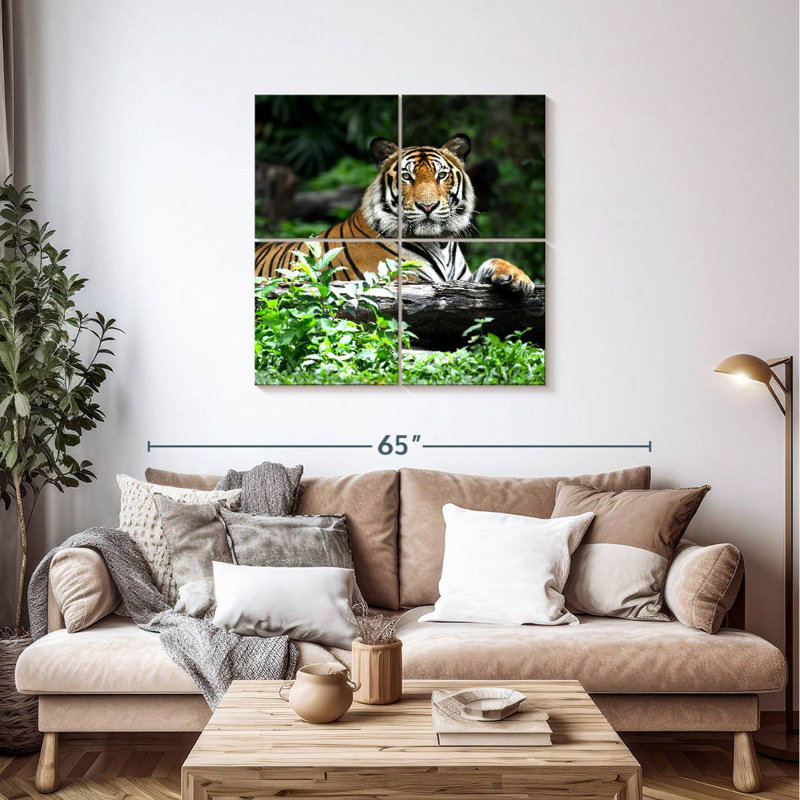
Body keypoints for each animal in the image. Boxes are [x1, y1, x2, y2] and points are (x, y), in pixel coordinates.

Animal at [254, 133, 534, 295]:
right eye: (407, 177)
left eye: (441, 175)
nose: (427, 206)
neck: (440, 244)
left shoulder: (460, 279)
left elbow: (492, 262)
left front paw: (518, 278)